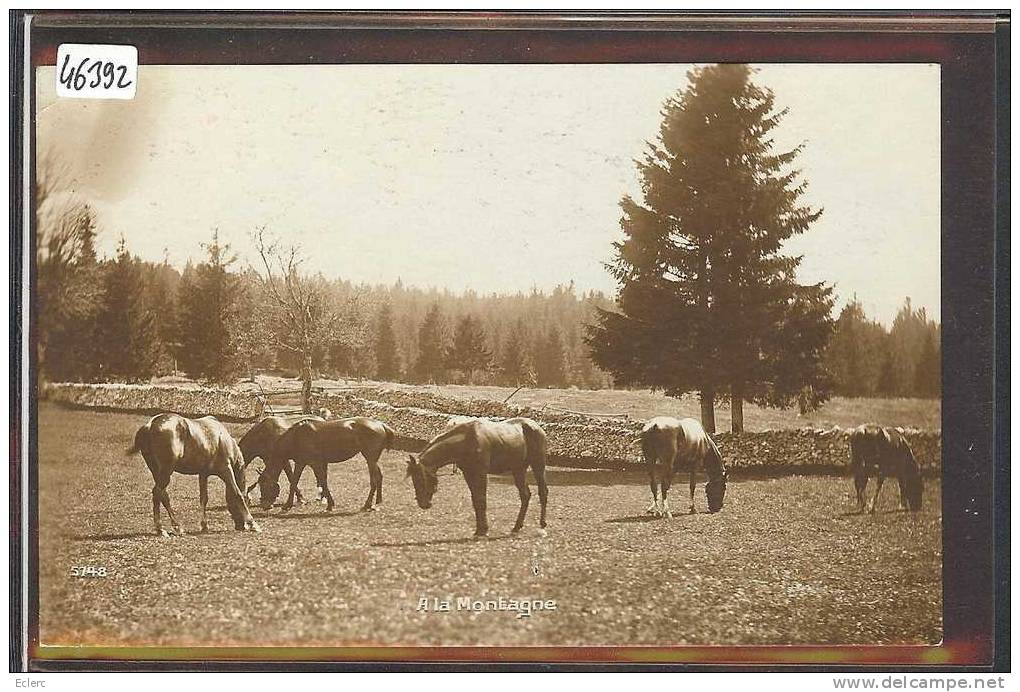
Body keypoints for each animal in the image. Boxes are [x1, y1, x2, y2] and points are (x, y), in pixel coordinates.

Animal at [125, 414, 261, 538]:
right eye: (248, 502)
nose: (240, 526)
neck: (222, 438)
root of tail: (150, 425)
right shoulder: (226, 470)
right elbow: (237, 494)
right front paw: (253, 523)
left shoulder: (203, 474)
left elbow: (203, 499)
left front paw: (204, 525)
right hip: (165, 472)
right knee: (157, 493)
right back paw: (162, 528)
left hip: (157, 472)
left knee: (162, 495)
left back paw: (175, 527)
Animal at [257, 414, 395, 512]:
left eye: (264, 486)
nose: (264, 505)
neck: (296, 436)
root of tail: (381, 425)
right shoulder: (302, 463)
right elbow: (297, 481)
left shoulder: (314, 463)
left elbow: (321, 482)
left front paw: (329, 505)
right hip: (372, 460)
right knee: (379, 477)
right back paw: (377, 502)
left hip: (370, 458)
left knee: (374, 479)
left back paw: (367, 505)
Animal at [405, 418, 550, 534]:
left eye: (420, 478)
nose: (423, 504)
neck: (466, 441)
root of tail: (537, 427)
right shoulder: (468, 474)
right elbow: (475, 500)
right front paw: (479, 528)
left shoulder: (481, 473)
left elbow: (481, 500)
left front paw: (483, 530)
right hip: (518, 470)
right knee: (525, 495)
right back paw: (517, 526)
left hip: (538, 466)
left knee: (543, 492)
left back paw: (542, 523)